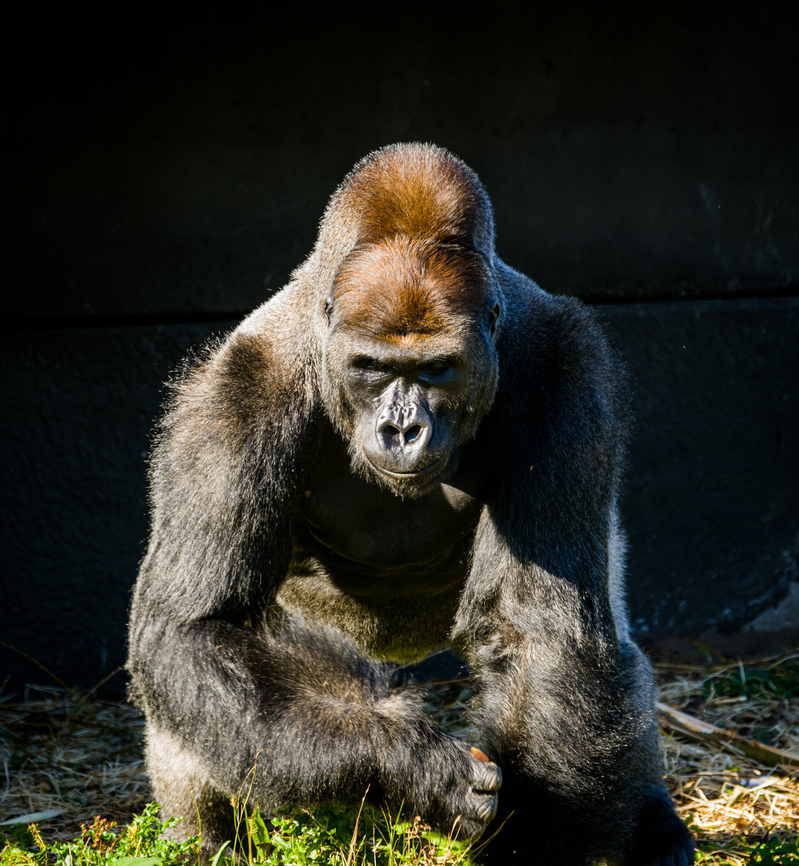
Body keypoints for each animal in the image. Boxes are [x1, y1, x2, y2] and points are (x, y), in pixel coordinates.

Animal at [127, 143, 694, 865]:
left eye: (437, 369)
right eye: (372, 368)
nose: (403, 429)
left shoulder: (566, 371)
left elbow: (542, 630)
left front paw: (530, 839)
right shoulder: (235, 396)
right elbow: (195, 629)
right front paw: (408, 767)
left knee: (609, 644)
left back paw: (652, 823)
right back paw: (206, 841)